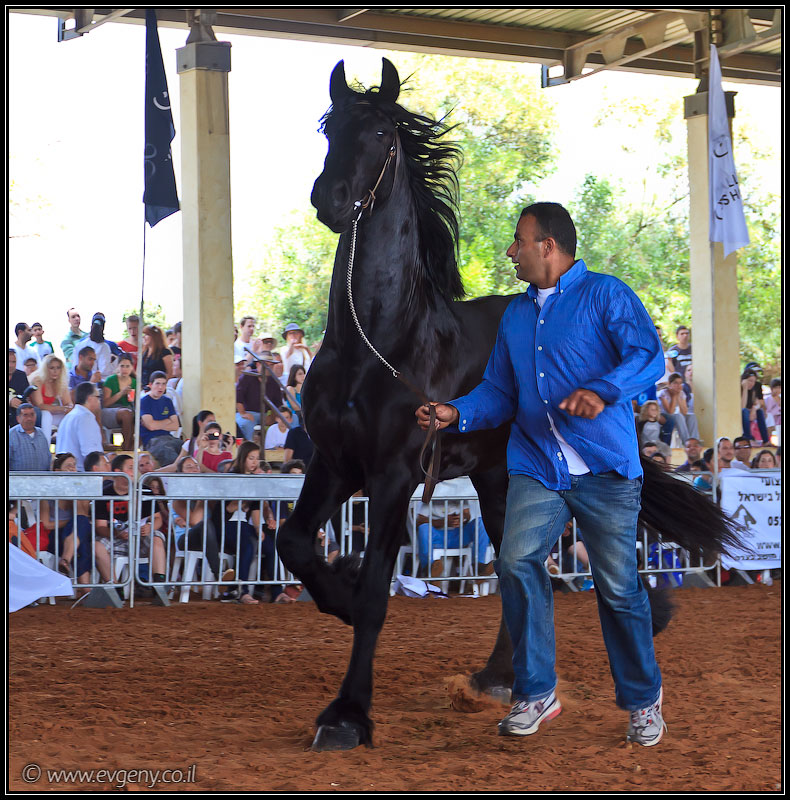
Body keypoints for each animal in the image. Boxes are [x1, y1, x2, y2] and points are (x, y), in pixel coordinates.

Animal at [276, 58, 742, 752]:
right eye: (330, 128)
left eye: (382, 134)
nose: (329, 199)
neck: (378, 342)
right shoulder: (332, 465)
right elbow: (296, 545)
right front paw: (337, 593)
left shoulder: (391, 476)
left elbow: (374, 591)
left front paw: (348, 714)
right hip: (501, 481)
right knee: (521, 572)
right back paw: (500, 677)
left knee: (573, 564)